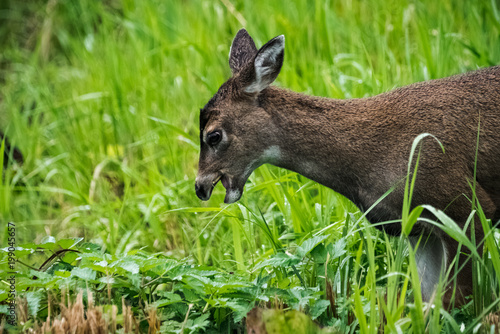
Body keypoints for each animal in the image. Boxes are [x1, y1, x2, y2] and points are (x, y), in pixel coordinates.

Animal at [194, 28, 500, 308]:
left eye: (213, 135)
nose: (200, 186)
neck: (369, 159)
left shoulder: (465, 207)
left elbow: (454, 300)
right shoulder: (416, 228)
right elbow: (424, 302)